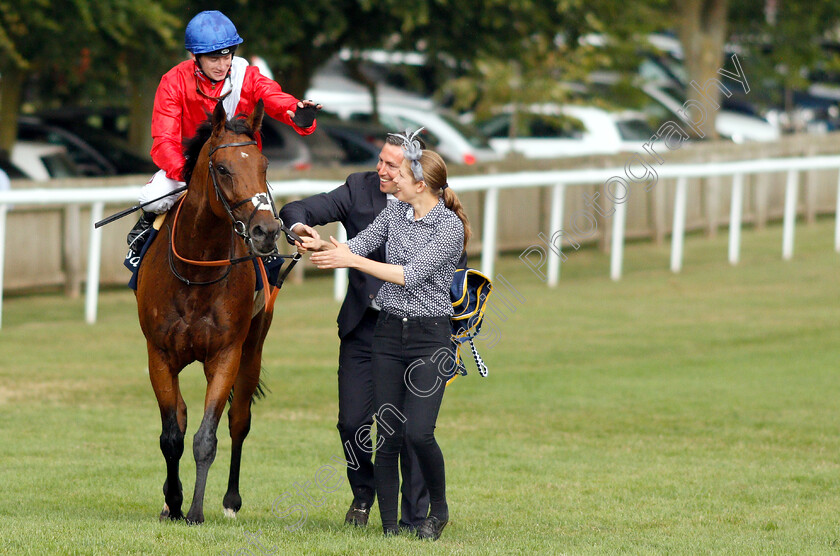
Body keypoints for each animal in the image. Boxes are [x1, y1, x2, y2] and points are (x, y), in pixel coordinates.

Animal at [136, 99, 280, 520]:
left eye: (264, 165)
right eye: (223, 168)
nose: (267, 231)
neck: (196, 272)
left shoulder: (226, 354)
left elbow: (206, 437)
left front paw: (196, 511)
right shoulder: (158, 354)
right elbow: (172, 434)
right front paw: (173, 501)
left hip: (252, 350)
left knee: (239, 420)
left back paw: (231, 501)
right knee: (182, 416)